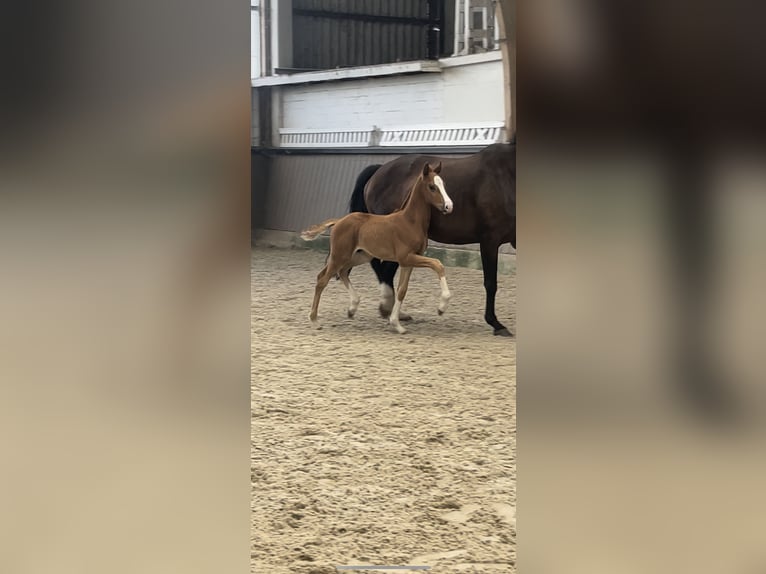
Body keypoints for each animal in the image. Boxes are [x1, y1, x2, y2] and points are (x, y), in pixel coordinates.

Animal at [302, 162, 456, 336]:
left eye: (443, 184)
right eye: (432, 187)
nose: (449, 206)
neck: (410, 222)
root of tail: (339, 221)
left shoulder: (409, 262)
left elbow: (402, 290)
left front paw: (397, 324)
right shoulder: (406, 257)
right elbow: (438, 264)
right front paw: (441, 308)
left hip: (359, 256)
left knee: (340, 272)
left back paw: (352, 307)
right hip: (340, 256)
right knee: (323, 280)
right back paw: (315, 320)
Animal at [352, 141, 520, 336]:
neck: (507, 175)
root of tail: (378, 171)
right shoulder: (489, 241)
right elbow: (491, 283)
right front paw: (496, 324)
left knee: (385, 269)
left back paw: (394, 311)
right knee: (381, 267)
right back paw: (389, 308)